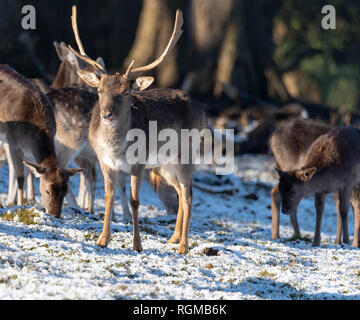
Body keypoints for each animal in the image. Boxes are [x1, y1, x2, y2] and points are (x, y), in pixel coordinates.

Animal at [0, 63, 82, 216]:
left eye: (64, 191)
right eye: (47, 190)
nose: (55, 215)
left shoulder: (28, 152)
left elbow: (27, 173)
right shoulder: (14, 142)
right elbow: (20, 177)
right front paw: (19, 206)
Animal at [69, 6, 207, 254]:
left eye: (125, 92)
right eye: (100, 90)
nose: (107, 114)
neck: (116, 149)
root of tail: (203, 109)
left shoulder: (139, 163)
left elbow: (135, 201)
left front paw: (137, 244)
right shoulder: (105, 162)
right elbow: (109, 197)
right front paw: (102, 239)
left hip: (186, 156)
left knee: (189, 194)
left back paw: (183, 245)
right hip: (164, 166)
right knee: (180, 192)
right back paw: (173, 238)